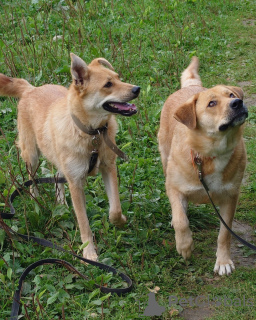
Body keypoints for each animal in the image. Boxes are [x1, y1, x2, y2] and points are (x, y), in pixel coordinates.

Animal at [0, 53, 140, 262]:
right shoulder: (75, 183)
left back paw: (61, 204)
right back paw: (36, 200)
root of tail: (31, 89)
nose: (137, 89)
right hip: (31, 155)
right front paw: (88, 252)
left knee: (58, 176)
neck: (91, 134)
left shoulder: (108, 168)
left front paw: (120, 221)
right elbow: (83, 222)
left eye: (118, 77)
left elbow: (115, 209)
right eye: (108, 84)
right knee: (32, 179)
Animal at [158, 57, 248, 276]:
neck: (210, 154)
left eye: (231, 95)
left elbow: (225, 233)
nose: (238, 102)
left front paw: (223, 261)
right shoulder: (173, 187)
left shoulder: (230, 197)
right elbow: (181, 221)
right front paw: (184, 245)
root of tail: (191, 87)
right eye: (212, 103)